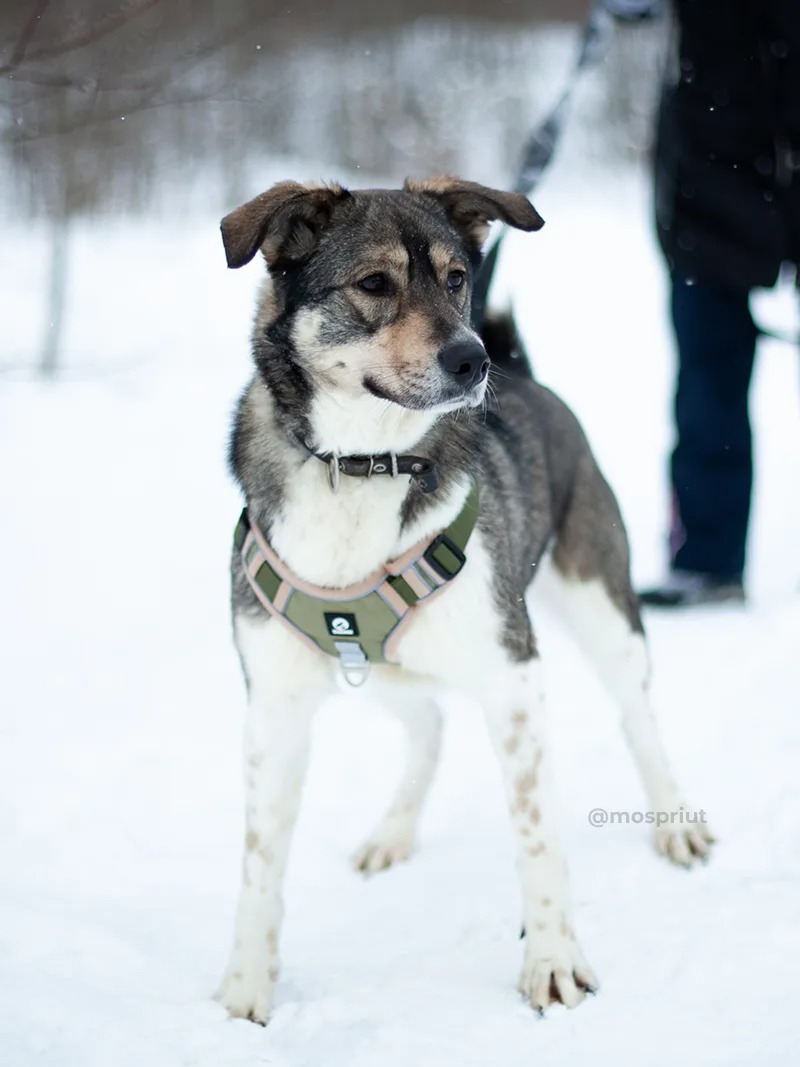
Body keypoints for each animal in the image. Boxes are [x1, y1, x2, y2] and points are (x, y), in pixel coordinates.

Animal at [214, 177, 712, 1024]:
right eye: (374, 283)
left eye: (454, 278)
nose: (472, 359)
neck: (363, 464)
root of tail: (526, 372)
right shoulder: (273, 705)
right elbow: (256, 864)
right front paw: (246, 989)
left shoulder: (513, 677)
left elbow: (538, 838)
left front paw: (552, 959)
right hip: (377, 668)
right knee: (429, 724)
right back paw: (394, 829)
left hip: (603, 608)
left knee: (638, 716)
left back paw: (674, 821)